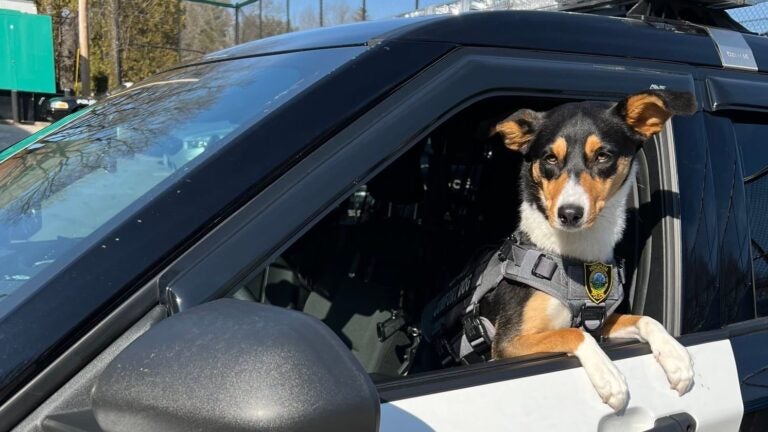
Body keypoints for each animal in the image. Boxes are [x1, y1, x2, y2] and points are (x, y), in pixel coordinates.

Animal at [488, 90, 700, 408]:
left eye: (603, 155)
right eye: (550, 158)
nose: (569, 213)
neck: (571, 255)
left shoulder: (601, 320)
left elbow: (645, 319)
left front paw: (675, 356)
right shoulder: (508, 344)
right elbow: (572, 334)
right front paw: (608, 376)